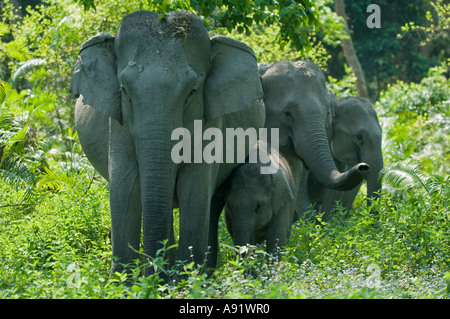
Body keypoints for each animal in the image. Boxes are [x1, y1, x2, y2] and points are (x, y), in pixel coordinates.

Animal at [69, 11, 266, 274]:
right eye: (124, 91)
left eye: (192, 92)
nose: (156, 274)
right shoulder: (119, 124)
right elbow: (125, 188)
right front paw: (124, 280)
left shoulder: (211, 121)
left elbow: (195, 190)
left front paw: (186, 278)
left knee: (211, 203)